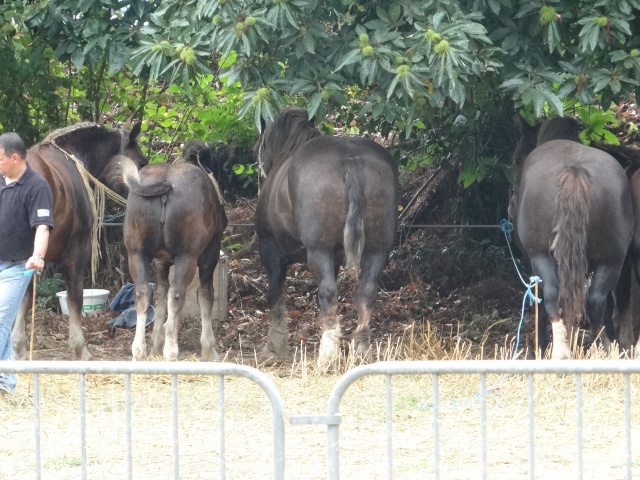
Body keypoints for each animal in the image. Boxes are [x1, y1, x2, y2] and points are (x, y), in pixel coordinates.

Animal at [123, 141, 228, 358]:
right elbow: (206, 296)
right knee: (177, 293)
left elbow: (160, 295)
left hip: (136, 253)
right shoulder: (210, 255)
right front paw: (209, 348)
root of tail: (165, 186)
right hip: (186, 256)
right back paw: (171, 350)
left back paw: (139, 350)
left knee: (142, 292)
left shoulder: (160, 261)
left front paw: (156, 344)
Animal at [252, 106, 398, 368]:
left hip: (318, 250)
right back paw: (361, 349)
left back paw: (328, 355)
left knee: (328, 291)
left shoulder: (270, 249)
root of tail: (350, 158)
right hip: (377, 249)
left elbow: (275, 294)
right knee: (367, 292)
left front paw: (274, 346)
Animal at [510, 115, 636, 356]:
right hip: (612, 261)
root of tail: (575, 169)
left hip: (542, 257)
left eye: (518, 159)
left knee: (552, 296)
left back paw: (562, 352)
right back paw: (603, 348)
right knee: (596, 300)